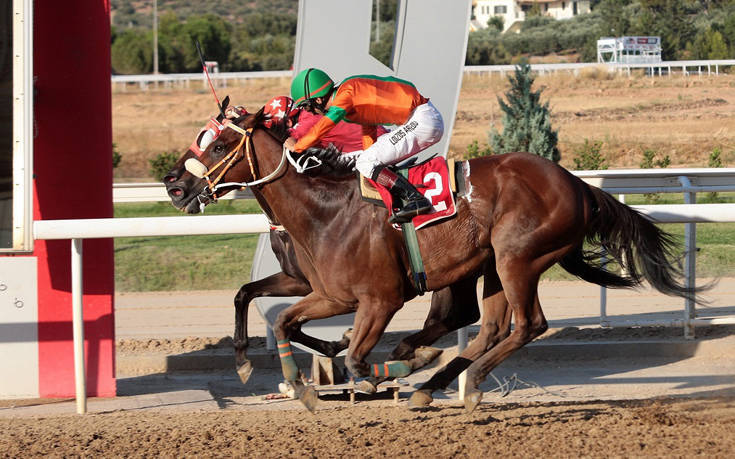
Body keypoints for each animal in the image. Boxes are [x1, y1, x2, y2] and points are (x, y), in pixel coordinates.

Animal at [165, 108, 700, 414]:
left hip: (518, 258)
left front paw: (396, 364)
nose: (175, 186)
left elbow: (358, 358)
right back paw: (440, 384)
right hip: (492, 266)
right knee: (490, 327)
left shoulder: (380, 299)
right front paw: (287, 379)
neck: (324, 210)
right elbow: (277, 319)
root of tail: (577, 185)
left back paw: (459, 377)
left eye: (217, 144)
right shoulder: (325, 292)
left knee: (527, 324)